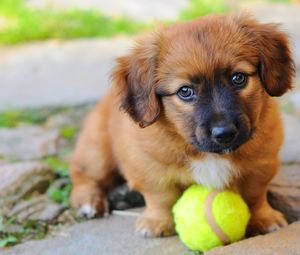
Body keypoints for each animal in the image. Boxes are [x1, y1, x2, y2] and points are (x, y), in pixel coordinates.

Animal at [71, 13, 296, 237]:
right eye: (185, 91)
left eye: (238, 78)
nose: (224, 133)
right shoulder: (149, 166)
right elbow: (160, 196)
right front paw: (156, 222)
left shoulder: (262, 164)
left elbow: (254, 194)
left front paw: (264, 218)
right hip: (97, 151)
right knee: (82, 174)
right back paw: (89, 202)